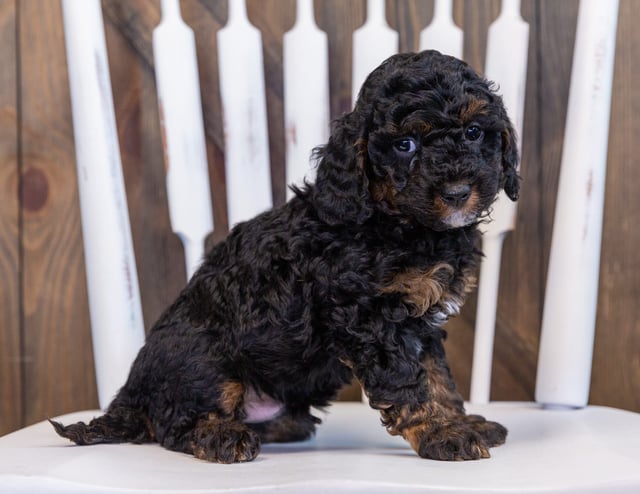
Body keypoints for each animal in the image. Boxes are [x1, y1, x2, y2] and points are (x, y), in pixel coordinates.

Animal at [51, 50, 520, 464]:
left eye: (474, 132)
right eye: (405, 145)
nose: (457, 192)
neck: (396, 222)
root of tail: (131, 392)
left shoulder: (418, 320)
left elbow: (437, 375)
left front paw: (463, 422)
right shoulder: (370, 317)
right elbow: (409, 382)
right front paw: (443, 434)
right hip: (203, 358)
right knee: (175, 423)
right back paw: (222, 436)